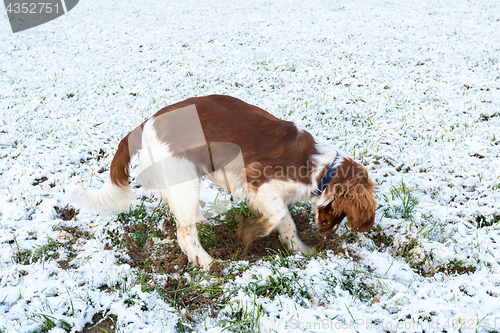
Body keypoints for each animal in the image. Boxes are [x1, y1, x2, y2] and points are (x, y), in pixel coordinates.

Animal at [69, 94, 376, 268]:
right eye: (342, 213)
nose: (326, 234)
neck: (321, 167)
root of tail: (145, 124)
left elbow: (286, 222)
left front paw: (301, 251)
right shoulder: (259, 180)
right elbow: (279, 215)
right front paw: (253, 231)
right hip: (185, 179)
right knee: (184, 234)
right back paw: (208, 265)